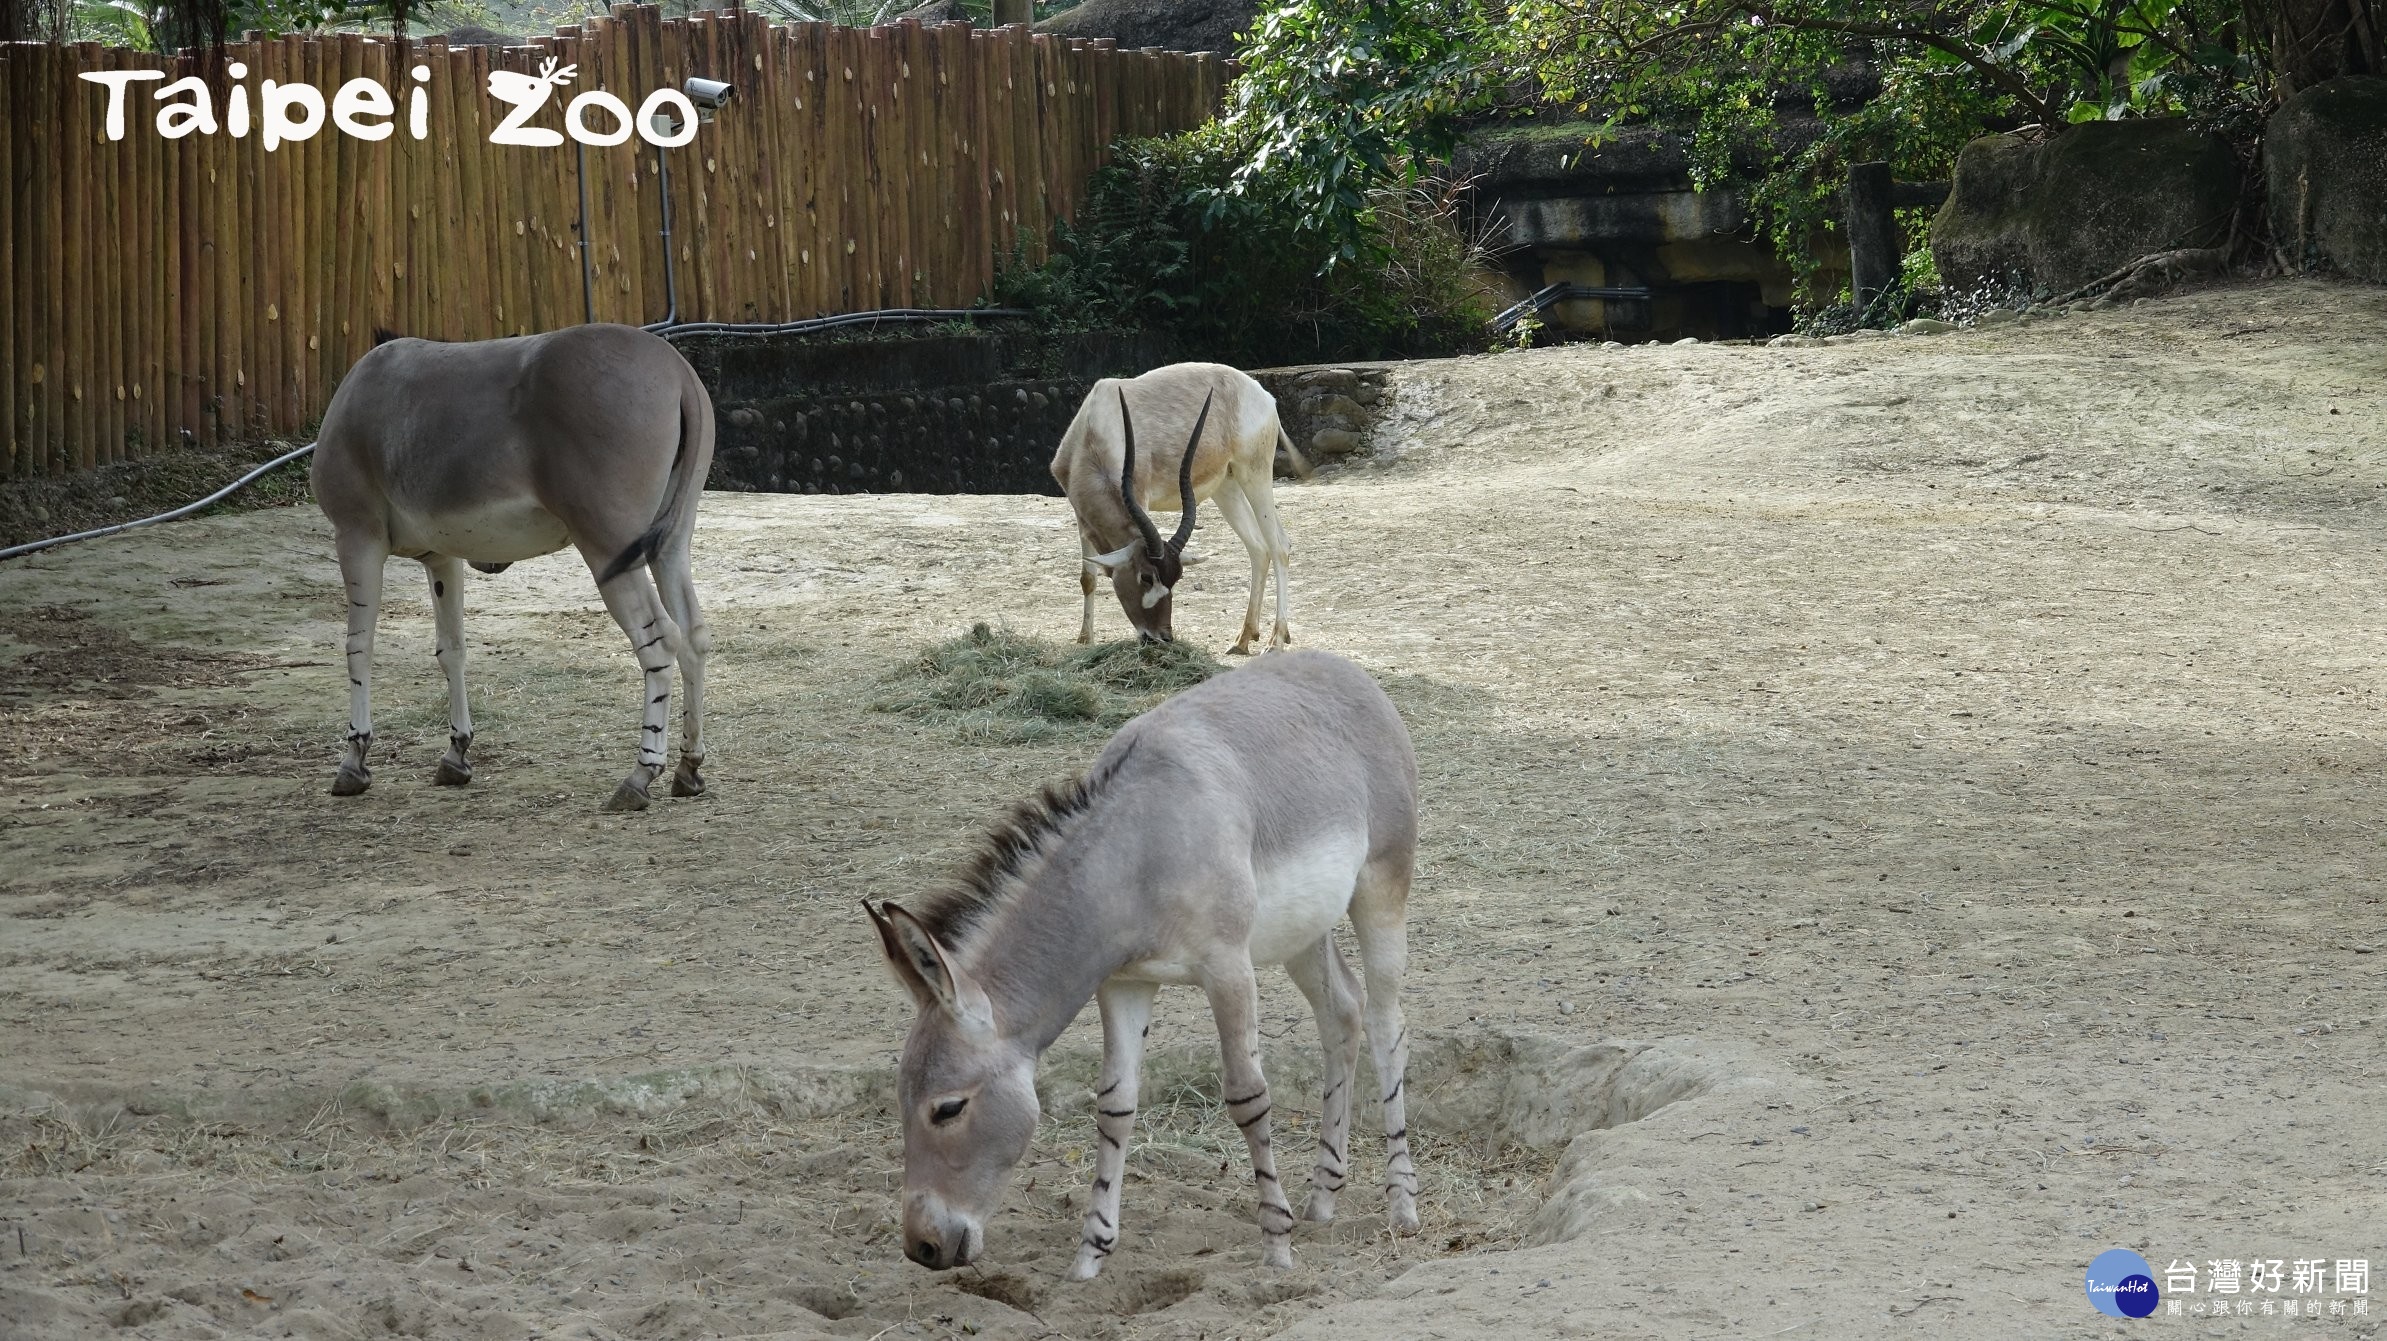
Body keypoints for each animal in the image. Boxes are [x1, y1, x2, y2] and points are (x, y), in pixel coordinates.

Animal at [312, 324, 711, 811]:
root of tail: (677, 371)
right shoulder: (441, 555)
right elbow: (452, 649)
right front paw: (456, 755)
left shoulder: (357, 536)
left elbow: (358, 646)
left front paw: (353, 761)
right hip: (670, 543)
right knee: (693, 635)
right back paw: (688, 768)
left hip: (608, 546)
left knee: (660, 640)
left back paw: (640, 776)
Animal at [868, 649, 1413, 1269]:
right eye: (901, 1100)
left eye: (948, 1108)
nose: (922, 1248)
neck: (1134, 855)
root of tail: (1347, 669)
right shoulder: (1122, 985)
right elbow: (1114, 1105)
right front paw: (1091, 1254)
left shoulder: (1228, 969)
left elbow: (1248, 1097)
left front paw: (1277, 1245)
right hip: (1301, 931)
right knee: (1341, 1011)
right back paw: (1324, 1195)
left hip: (1381, 889)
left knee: (1386, 1026)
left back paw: (1401, 1204)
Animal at [1050, 360, 1308, 653]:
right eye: (1146, 577)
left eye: (1176, 578)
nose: (1162, 637)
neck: (1095, 432)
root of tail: (1265, 397)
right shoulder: (1081, 515)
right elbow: (1088, 579)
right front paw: (1085, 640)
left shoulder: (1139, 495)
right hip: (1226, 486)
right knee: (1258, 547)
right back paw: (1243, 638)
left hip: (1254, 473)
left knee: (1278, 547)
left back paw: (1276, 640)